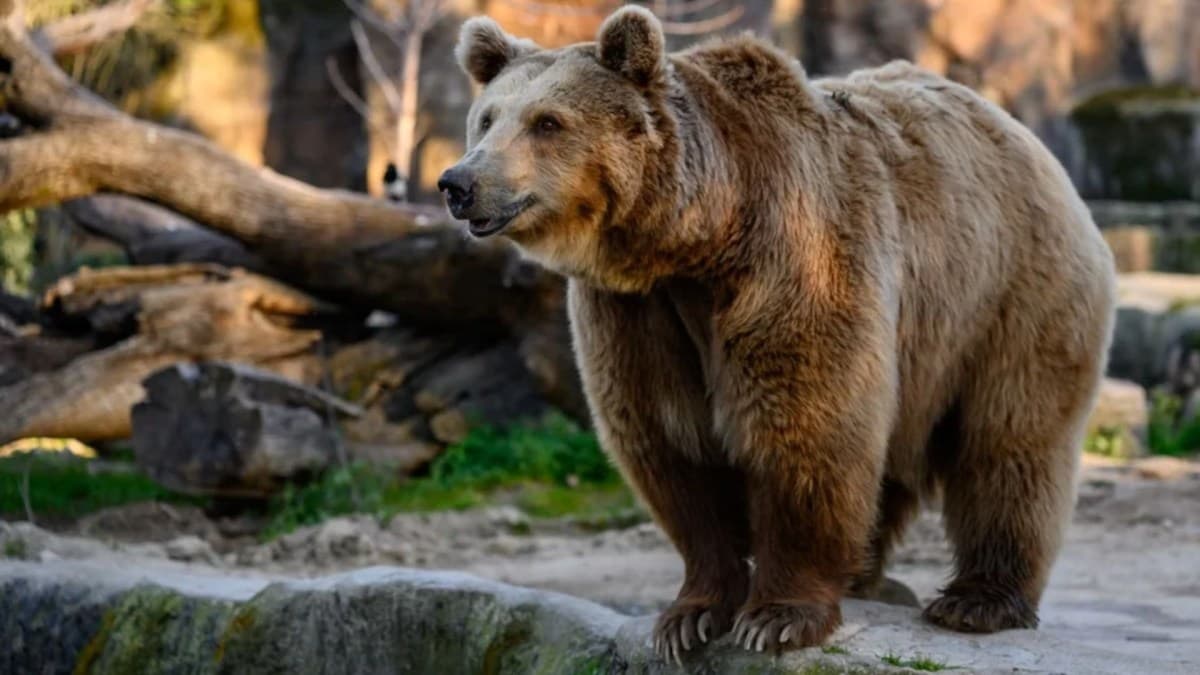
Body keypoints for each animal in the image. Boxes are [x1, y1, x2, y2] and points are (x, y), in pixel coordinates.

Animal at [440, 6, 1116, 662]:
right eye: (487, 118)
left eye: (547, 122)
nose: (459, 183)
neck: (698, 239)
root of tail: (1021, 133)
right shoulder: (637, 311)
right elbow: (671, 443)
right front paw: (688, 617)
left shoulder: (795, 259)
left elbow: (804, 428)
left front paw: (776, 618)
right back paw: (866, 575)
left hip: (1008, 293)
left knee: (1009, 441)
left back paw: (977, 600)